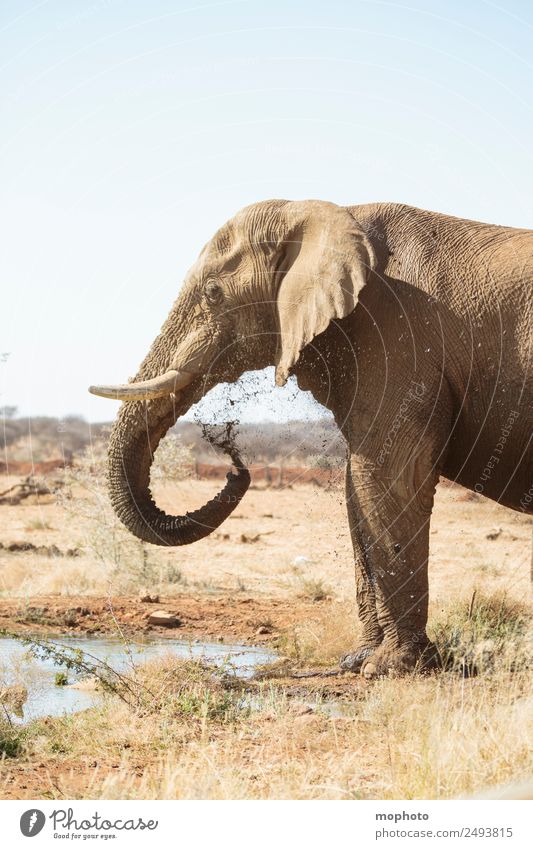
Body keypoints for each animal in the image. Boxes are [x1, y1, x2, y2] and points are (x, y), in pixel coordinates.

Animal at [89, 197, 528, 676]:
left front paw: (390, 669)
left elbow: (387, 476)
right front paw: (356, 660)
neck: (326, 215)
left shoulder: (400, 337)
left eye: (213, 293)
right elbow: (359, 486)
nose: (233, 457)